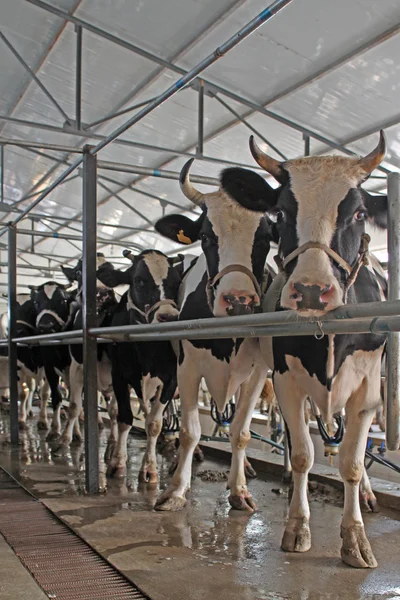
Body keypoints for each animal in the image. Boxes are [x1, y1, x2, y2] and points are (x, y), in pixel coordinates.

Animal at [97, 250, 183, 482]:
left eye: (177, 282)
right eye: (138, 280)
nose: (169, 317)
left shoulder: (170, 380)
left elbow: (154, 424)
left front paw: (150, 469)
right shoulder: (120, 376)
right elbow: (124, 418)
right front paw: (118, 463)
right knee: (112, 411)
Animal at [153, 157, 272, 508]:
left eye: (266, 237)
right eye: (206, 235)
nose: (239, 300)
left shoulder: (257, 373)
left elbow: (241, 431)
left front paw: (239, 488)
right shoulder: (188, 368)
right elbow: (189, 431)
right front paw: (176, 490)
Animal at [227, 131, 390, 568]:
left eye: (358, 213)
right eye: (281, 213)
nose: (313, 291)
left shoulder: (368, 388)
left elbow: (352, 462)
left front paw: (355, 540)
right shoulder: (286, 380)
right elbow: (302, 453)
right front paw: (297, 527)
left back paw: (367, 494)